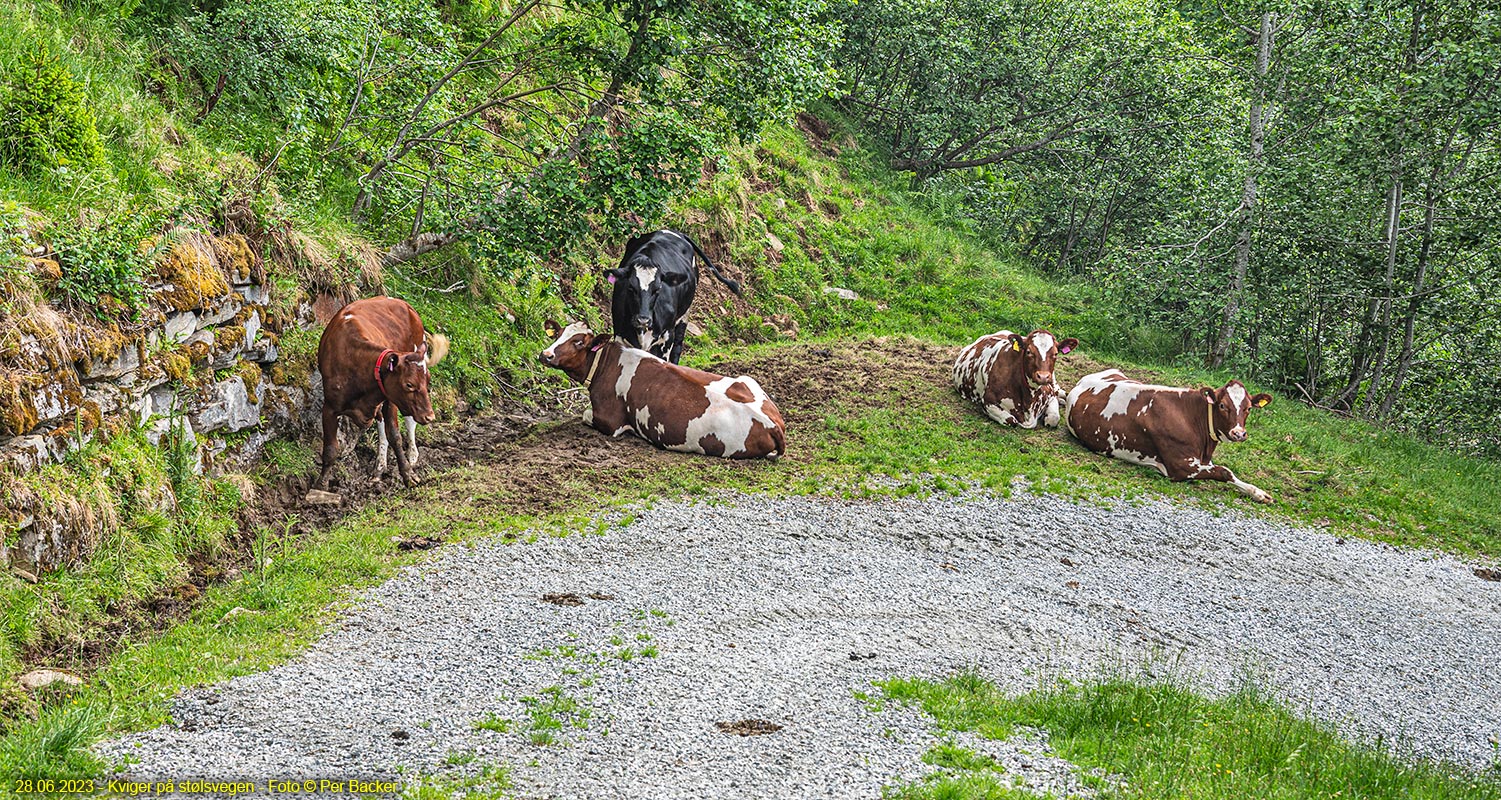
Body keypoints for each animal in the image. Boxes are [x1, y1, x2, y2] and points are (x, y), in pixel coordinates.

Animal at [313, 295, 447, 489]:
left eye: (427, 380)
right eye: (409, 384)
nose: (430, 416)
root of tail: (403, 303)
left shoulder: (390, 399)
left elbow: (395, 436)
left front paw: (408, 474)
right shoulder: (329, 407)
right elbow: (330, 449)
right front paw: (321, 485)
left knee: (409, 422)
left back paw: (412, 456)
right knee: (382, 428)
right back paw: (379, 467)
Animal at [546, 316, 792, 456]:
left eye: (578, 342)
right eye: (557, 334)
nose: (545, 354)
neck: (607, 363)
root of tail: (774, 425)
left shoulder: (610, 422)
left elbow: (585, 414)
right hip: (747, 380)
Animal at [606, 229, 741, 363]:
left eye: (658, 289)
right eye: (630, 287)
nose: (643, 320)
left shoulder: (667, 338)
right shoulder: (619, 335)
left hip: (685, 315)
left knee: (678, 346)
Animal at [948, 327, 1080, 426]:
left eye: (1056, 354)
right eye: (1029, 352)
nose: (1043, 377)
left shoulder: (1050, 394)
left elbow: (1053, 419)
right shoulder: (988, 402)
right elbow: (1011, 420)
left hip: (1054, 383)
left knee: (1061, 392)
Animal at [1062, 366, 1272, 498]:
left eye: (1248, 408)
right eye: (1222, 405)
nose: (1239, 433)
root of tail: (1082, 380)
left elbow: (1230, 473)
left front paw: (1258, 493)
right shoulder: (1180, 466)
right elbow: (1224, 471)